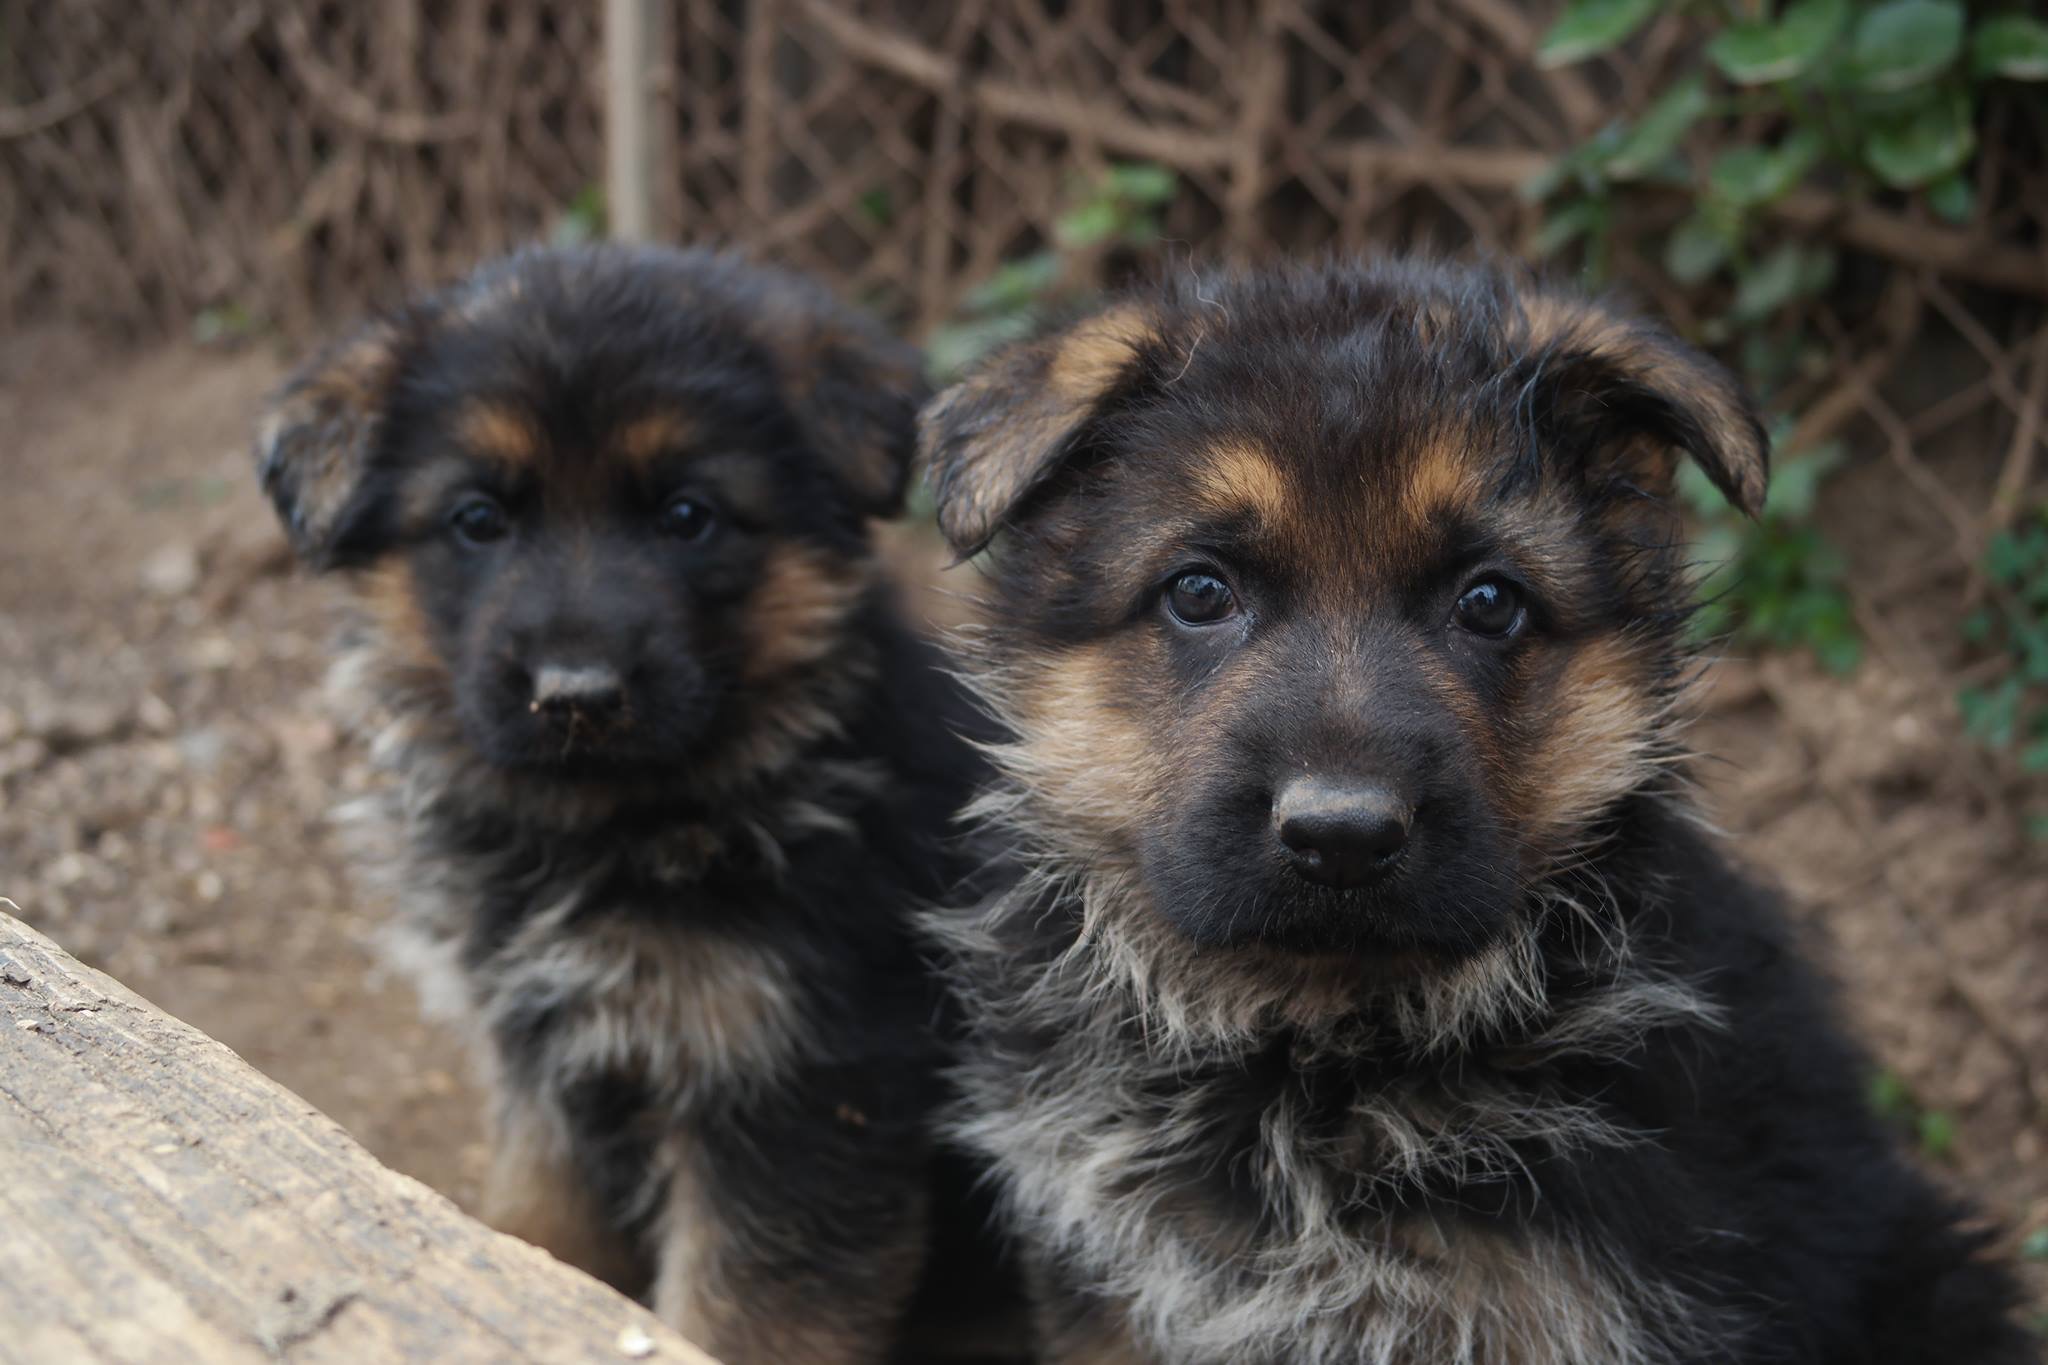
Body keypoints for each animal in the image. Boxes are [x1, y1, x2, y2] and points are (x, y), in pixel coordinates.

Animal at [256, 245, 991, 1365]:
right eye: (478, 520)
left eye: (686, 516)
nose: (576, 694)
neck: (613, 828)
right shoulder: (547, 1069)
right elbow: (540, 1228)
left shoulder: (796, 1091)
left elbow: (743, 1314)